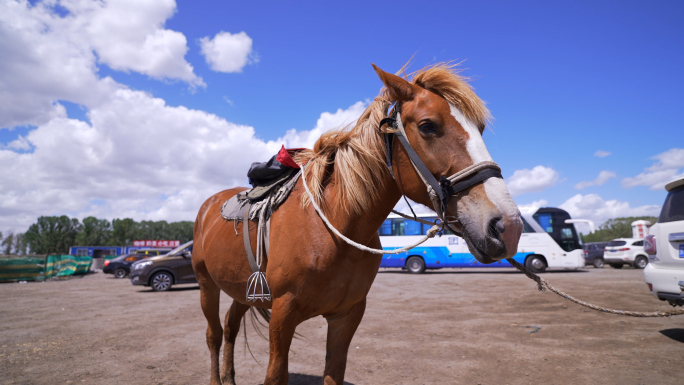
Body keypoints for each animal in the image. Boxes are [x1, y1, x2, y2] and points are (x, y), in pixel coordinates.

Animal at [192, 63, 524, 384]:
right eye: (428, 125)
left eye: (480, 129)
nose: (508, 226)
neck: (333, 230)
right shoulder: (282, 315)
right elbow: (275, 375)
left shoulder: (346, 316)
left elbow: (333, 373)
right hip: (207, 285)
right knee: (214, 335)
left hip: (240, 289)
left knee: (231, 327)